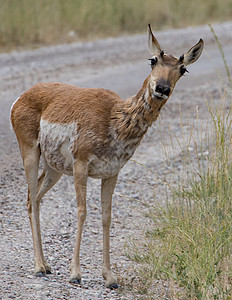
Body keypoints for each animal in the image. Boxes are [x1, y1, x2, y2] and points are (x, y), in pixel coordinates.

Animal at [10, 25, 203, 288]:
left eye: (183, 69)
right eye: (153, 60)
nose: (162, 88)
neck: (115, 118)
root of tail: (21, 97)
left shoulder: (112, 173)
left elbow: (106, 217)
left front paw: (110, 277)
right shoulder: (81, 165)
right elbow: (82, 211)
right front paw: (75, 273)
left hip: (54, 168)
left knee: (36, 197)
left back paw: (47, 265)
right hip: (30, 152)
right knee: (31, 199)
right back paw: (39, 266)